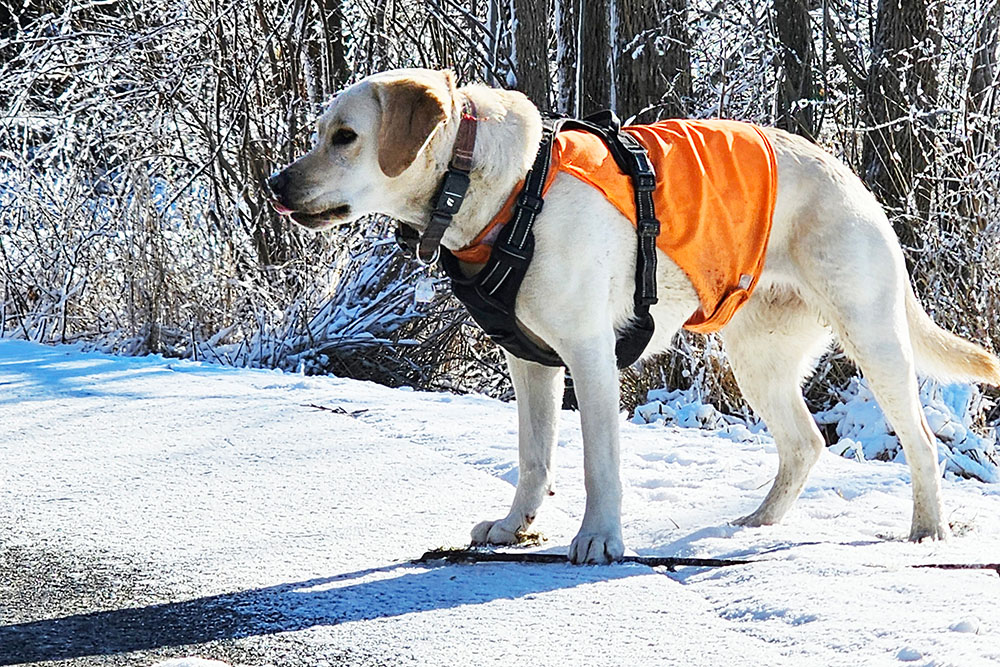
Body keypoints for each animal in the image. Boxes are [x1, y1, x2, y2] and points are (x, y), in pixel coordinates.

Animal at [266, 68, 1000, 560]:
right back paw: (756, 524)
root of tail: (854, 180)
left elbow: (599, 462)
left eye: (345, 136)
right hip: (759, 357)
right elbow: (533, 457)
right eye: (320, 134)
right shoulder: (530, 362)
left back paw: (928, 530)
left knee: (922, 441)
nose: (275, 184)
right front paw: (515, 527)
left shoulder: (589, 356)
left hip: (872, 337)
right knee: (804, 442)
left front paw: (597, 537)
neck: (496, 190)